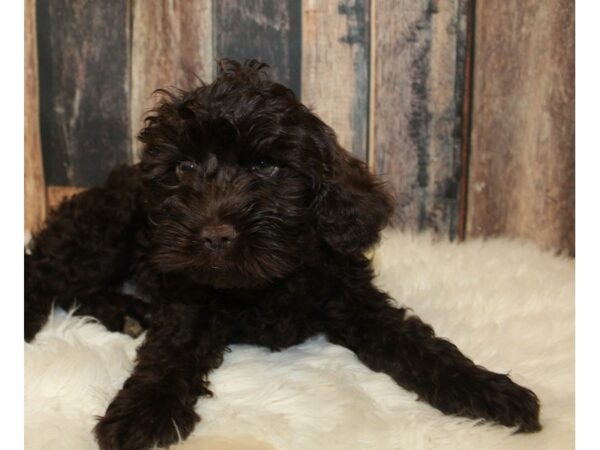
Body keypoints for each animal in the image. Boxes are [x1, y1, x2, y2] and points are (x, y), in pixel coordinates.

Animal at [24, 59, 540, 450]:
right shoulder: (190, 299)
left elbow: (420, 343)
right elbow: (168, 354)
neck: (263, 282)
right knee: (45, 271)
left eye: (266, 167)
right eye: (184, 168)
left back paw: (129, 313)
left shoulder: (354, 298)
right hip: (105, 234)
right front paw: (140, 414)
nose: (213, 236)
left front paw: (490, 392)